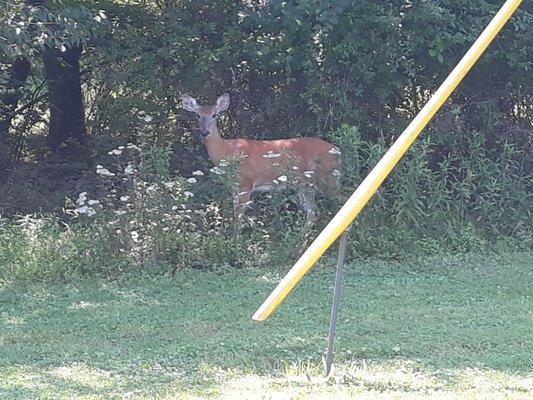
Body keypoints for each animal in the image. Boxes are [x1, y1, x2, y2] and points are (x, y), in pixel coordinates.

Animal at [182, 93, 340, 233]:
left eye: (214, 115)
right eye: (197, 115)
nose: (204, 132)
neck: (227, 151)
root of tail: (338, 152)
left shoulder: (246, 183)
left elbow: (238, 219)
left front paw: (235, 242)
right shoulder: (235, 187)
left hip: (326, 179)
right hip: (305, 184)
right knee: (313, 213)